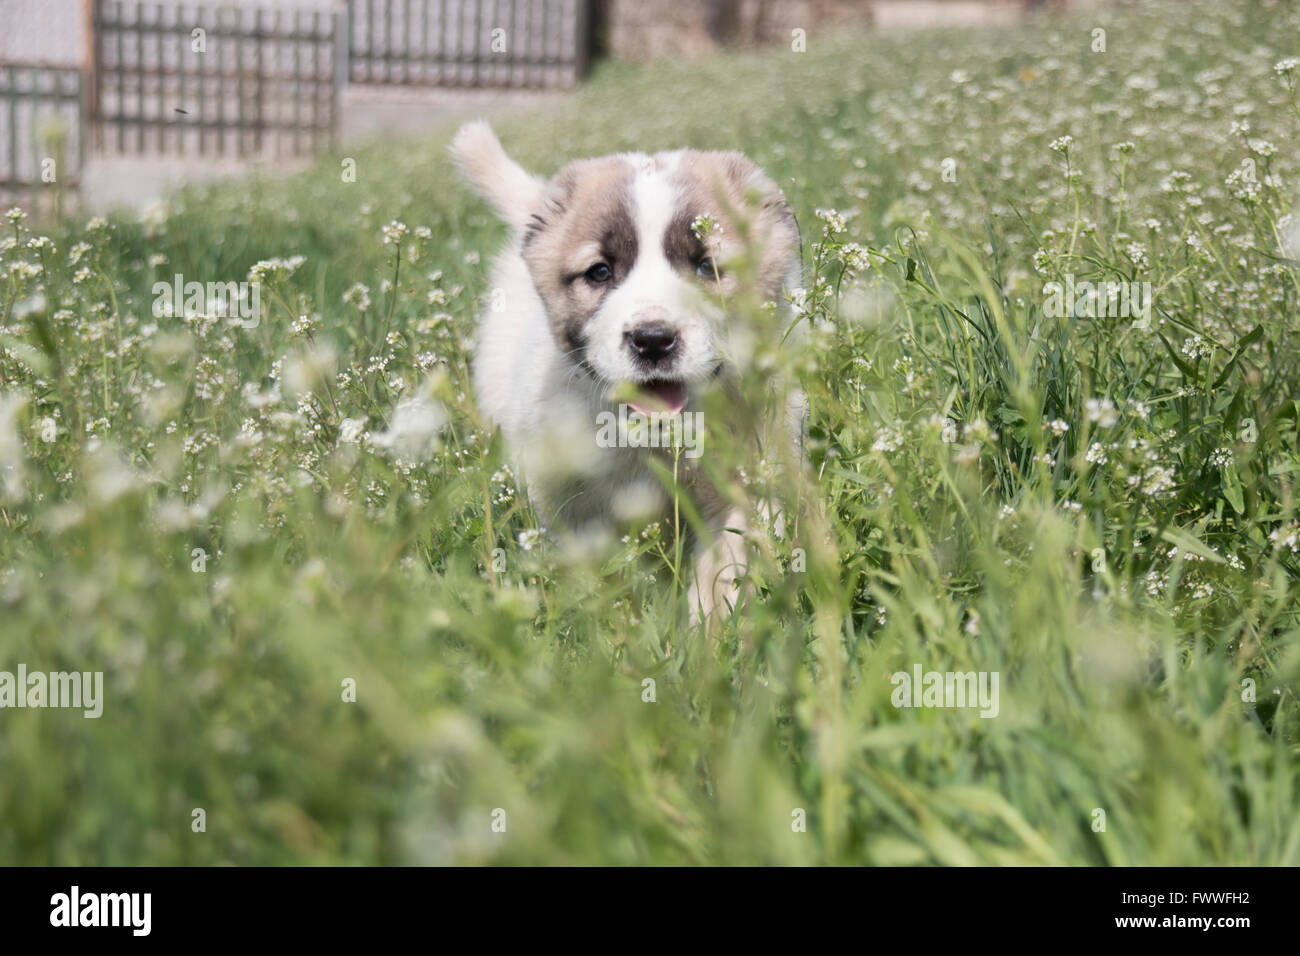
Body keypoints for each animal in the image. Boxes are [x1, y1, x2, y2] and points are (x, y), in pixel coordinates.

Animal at [454, 121, 800, 621]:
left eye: (707, 267)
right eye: (600, 272)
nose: (653, 340)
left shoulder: (742, 480)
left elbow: (724, 570)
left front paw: (709, 635)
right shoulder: (574, 503)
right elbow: (606, 578)